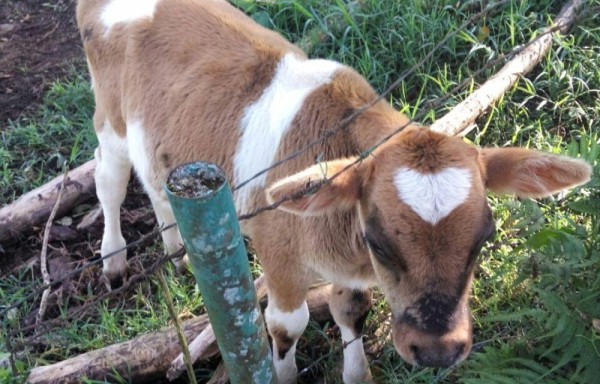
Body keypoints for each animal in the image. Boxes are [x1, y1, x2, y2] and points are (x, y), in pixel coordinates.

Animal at [76, 0, 592, 380]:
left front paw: (357, 374)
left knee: (156, 183)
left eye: (484, 238)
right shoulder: (278, 254)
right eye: (379, 243)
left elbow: (353, 311)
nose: (436, 350)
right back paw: (114, 259)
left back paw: (177, 251)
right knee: (109, 179)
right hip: (110, 122)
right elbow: (286, 327)